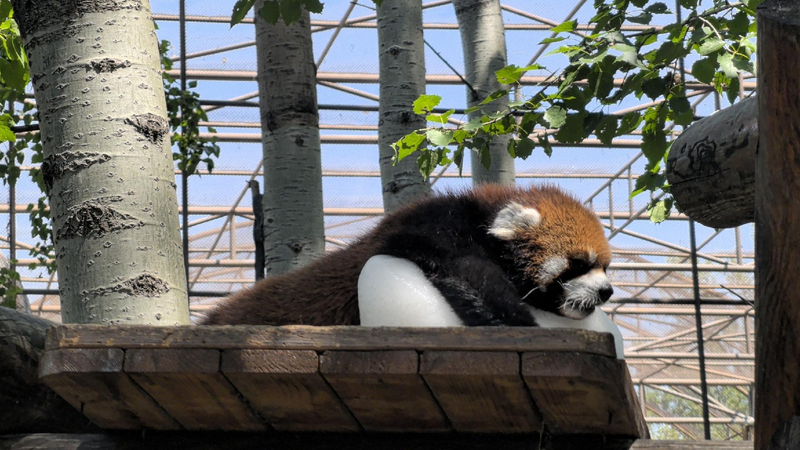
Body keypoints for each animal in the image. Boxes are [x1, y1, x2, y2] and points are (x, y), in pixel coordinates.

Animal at [201, 184, 615, 329]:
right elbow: (468, 274)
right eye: (578, 264)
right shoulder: (434, 230)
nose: (607, 291)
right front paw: (512, 317)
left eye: (605, 266)